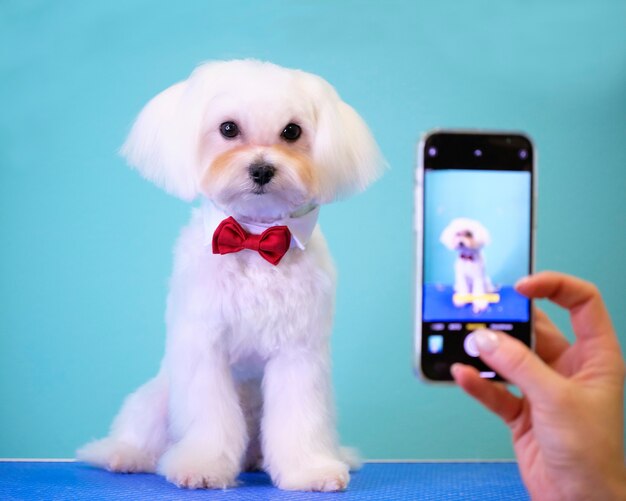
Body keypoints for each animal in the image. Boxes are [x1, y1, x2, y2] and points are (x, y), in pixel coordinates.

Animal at [75, 59, 382, 492]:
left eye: (292, 131)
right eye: (228, 128)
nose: (262, 169)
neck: (254, 238)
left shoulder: (298, 354)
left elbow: (299, 419)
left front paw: (309, 470)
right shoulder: (204, 346)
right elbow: (209, 418)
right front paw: (203, 466)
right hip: (157, 400)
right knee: (138, 434)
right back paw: (124, 455)